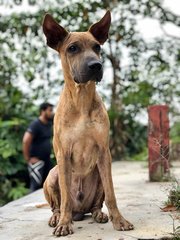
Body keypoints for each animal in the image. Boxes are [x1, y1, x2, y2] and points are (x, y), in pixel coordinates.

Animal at [42, 9, 134, 236]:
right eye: (72, 48)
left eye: (97, 47)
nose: (96, 66)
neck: (82, 99)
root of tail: (79, 211)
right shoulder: (63, 154)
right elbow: (65, 198)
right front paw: (64, 224)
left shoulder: (104, 152)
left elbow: (111, 195)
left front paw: (119, 220)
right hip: (52, 175)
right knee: (57, 204)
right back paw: (57, 217)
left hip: (99, 174)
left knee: (96, 204)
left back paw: (98, 214)